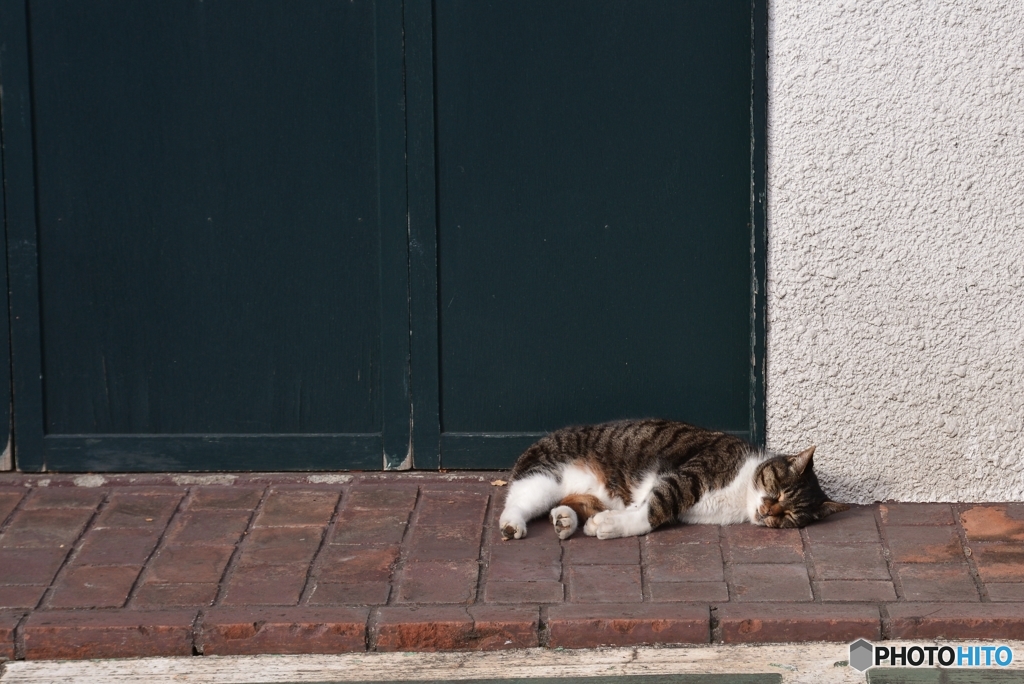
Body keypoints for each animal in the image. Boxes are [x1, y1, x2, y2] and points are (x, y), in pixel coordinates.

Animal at [497, 417, 847, 540]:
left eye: (789, 516)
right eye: (778, 491)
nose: (768, 512)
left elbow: (645, 508)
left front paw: (606, 523)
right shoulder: (688, 475)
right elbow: (655, 509)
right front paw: (612, 526)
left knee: (572, 503)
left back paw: (565, 520)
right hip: (544, 476)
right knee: (515, 501)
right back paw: (513, 525)